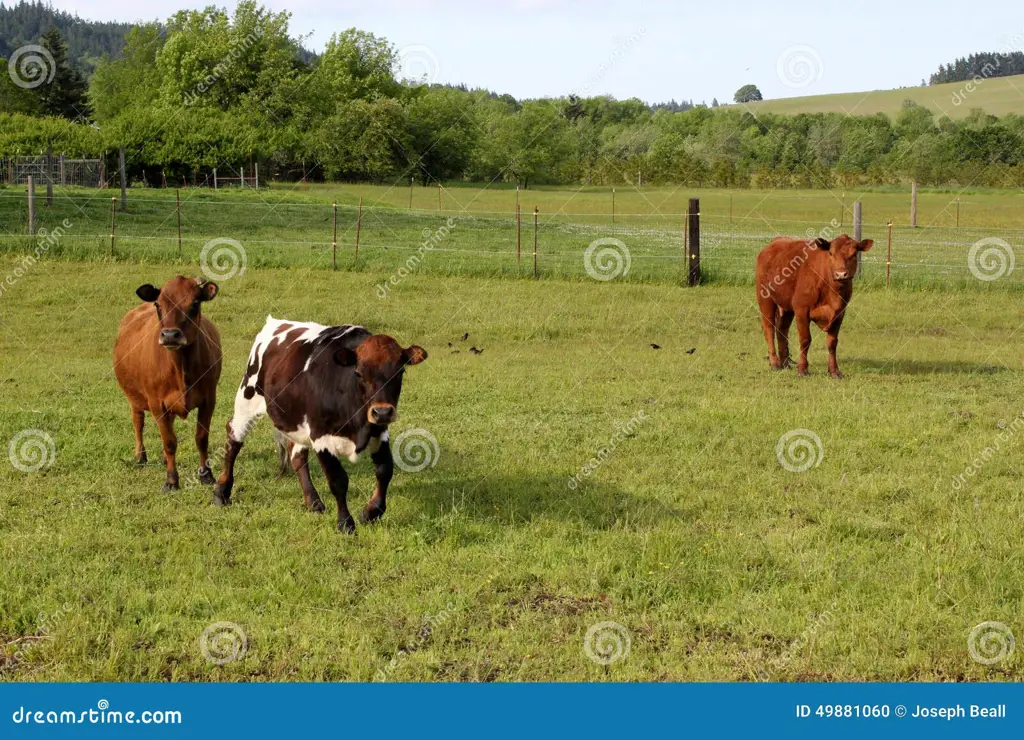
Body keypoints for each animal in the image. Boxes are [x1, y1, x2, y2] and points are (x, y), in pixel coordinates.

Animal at [113, 274, 223, 489]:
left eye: (195, 303)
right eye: (158, 304)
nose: (170, 335)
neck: (181, 367)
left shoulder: (209, 400)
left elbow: (201, 438)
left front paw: (206, 474)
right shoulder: (156, 403)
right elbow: (169, 442)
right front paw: (171, 479)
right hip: (134, 397)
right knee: (138, 422)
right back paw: (140, 456)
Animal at [214, 313, 425, 532]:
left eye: (400, 372)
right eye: (358, 373)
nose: (382, 412)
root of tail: (276, 322)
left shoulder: (379, 432)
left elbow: (385, 470)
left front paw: (371, 512)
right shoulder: (321, 436)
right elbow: (338, 480)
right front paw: (345, 522)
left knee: (297, 455)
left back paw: (313, 502)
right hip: (247, 399)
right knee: (233, 436)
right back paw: (222, 491)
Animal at [753, 234, 872, 378]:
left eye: (854, 254)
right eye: (831, 253)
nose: (841, 274)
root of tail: (775, 241)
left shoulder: (840, 313)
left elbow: (832, 343)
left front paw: (834, 371)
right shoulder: (801, 310)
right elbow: (805, 340)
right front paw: (802, 369)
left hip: (786, 307)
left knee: (782, 330)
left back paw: (785, 363)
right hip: (766, 299)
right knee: (769, 328)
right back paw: (775, 363)